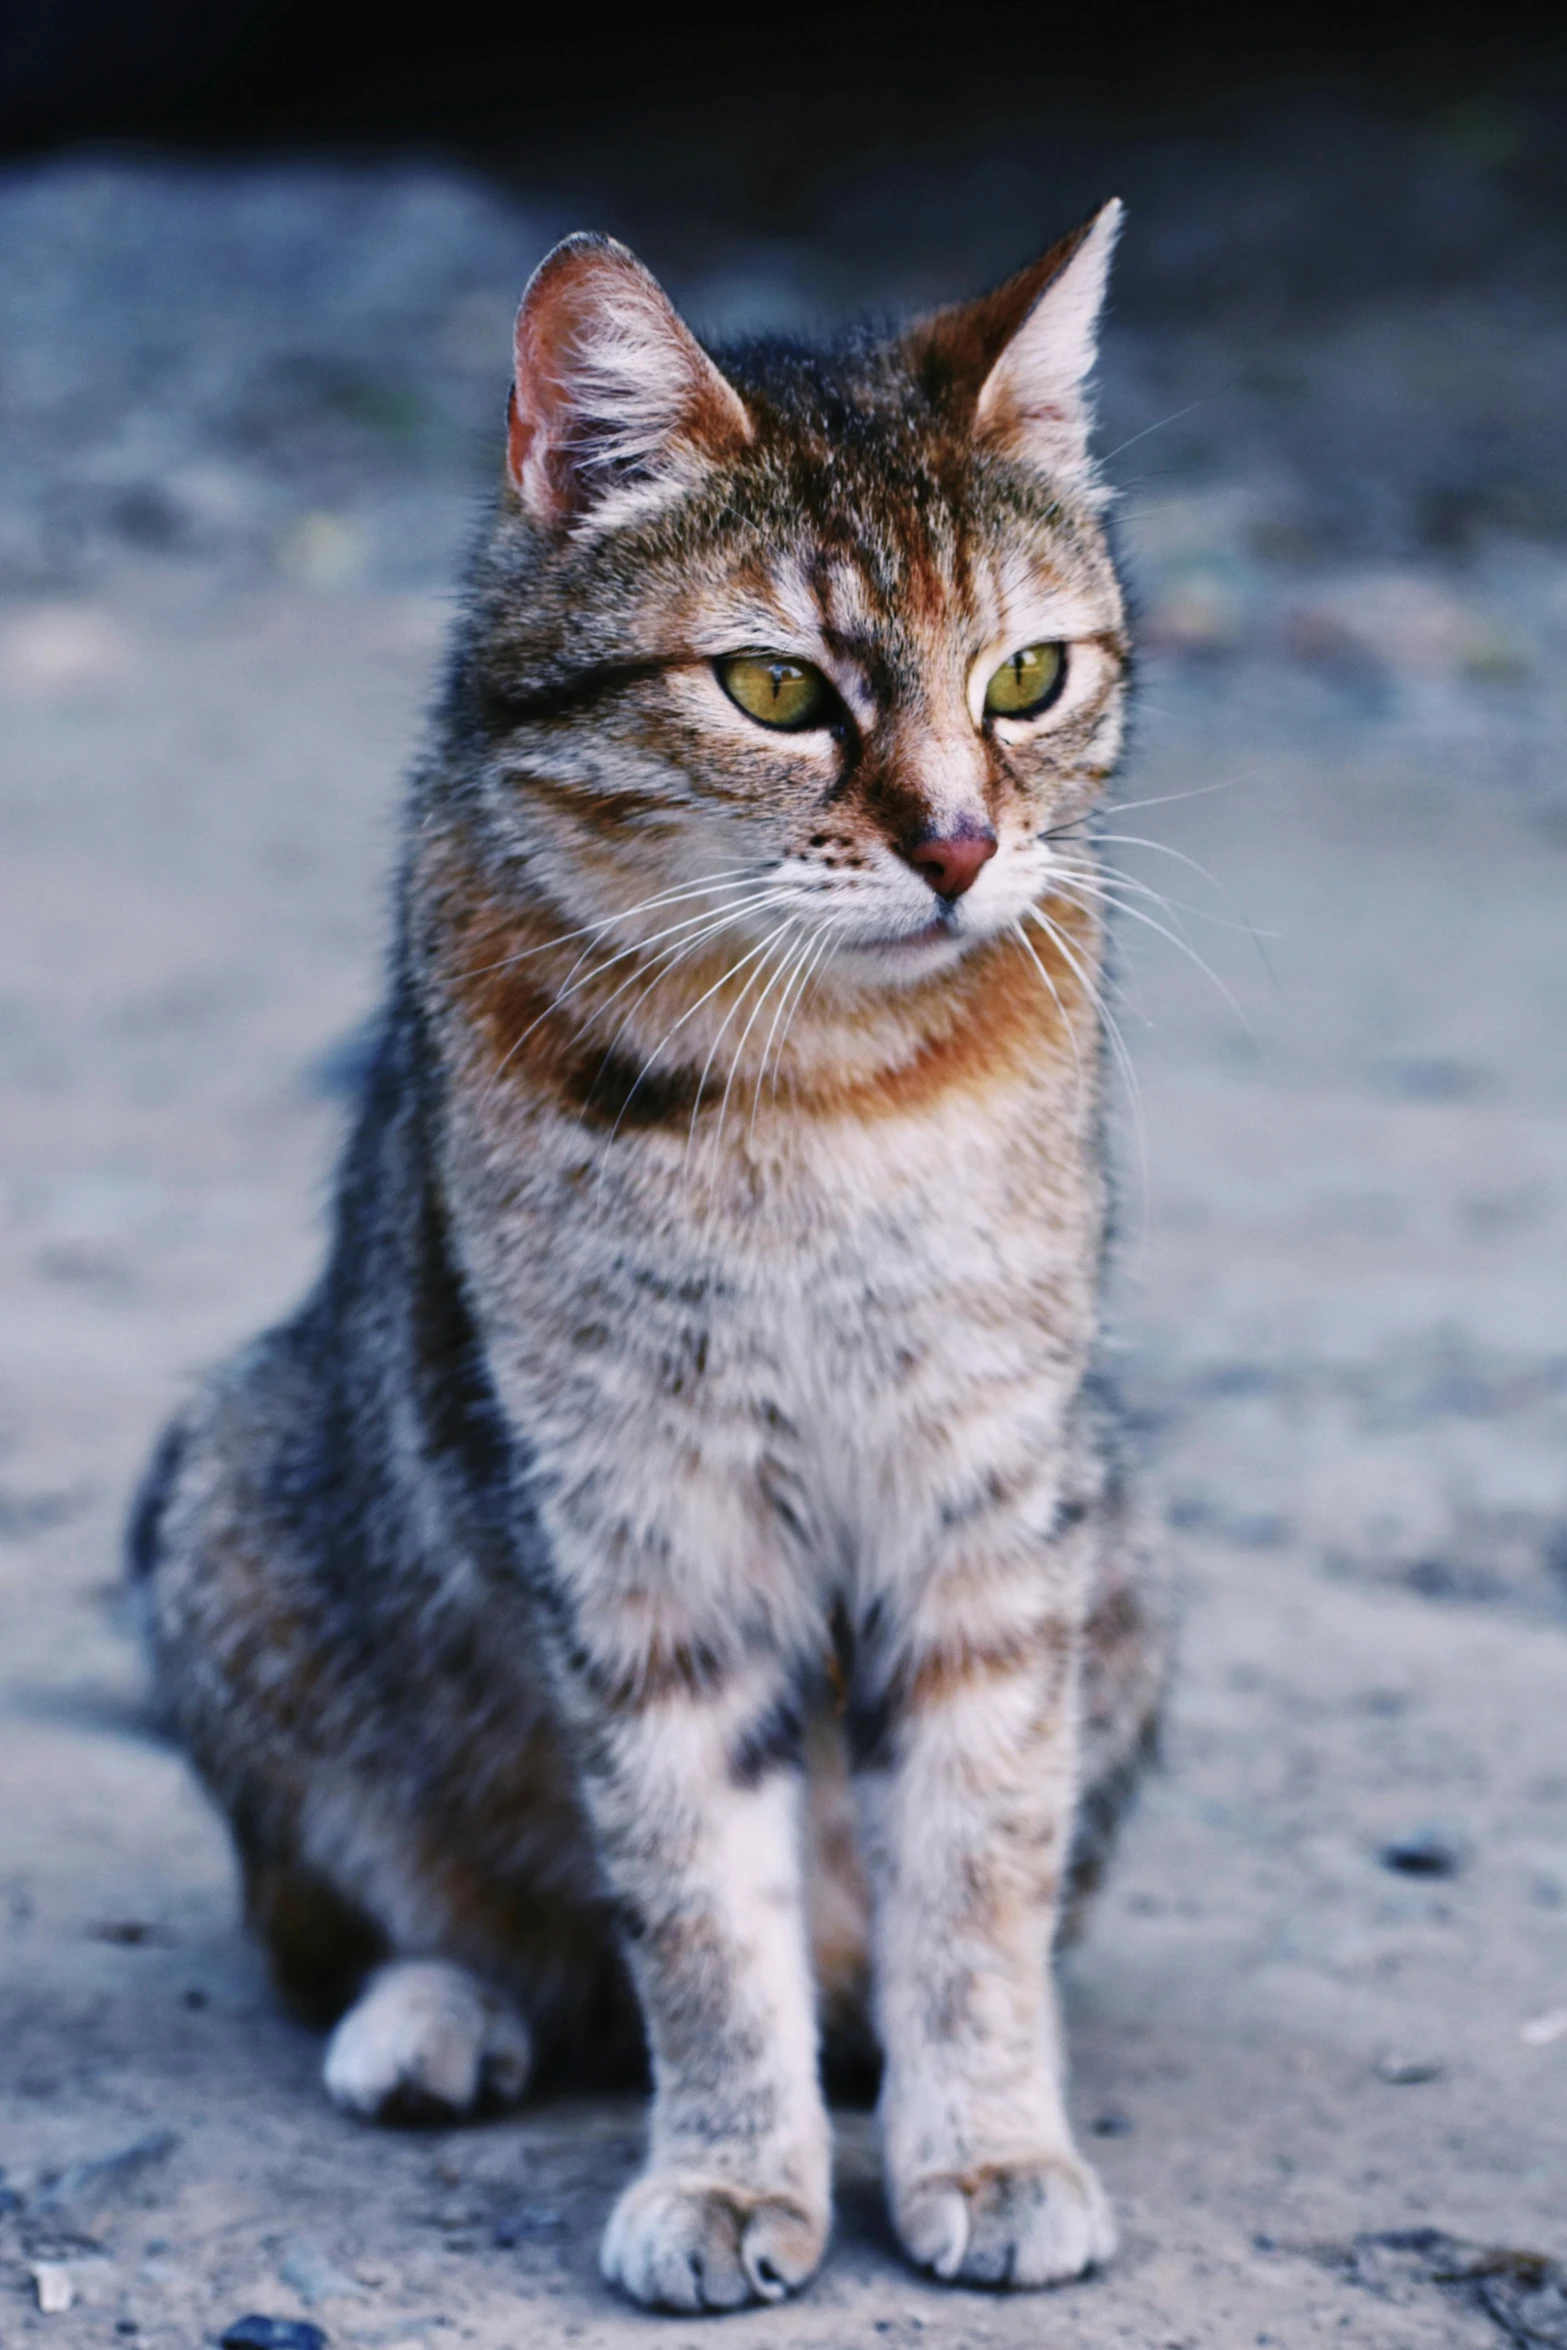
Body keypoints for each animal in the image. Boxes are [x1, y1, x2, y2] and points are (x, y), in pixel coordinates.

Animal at [131, 206, 1165, 2312]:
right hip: (234, 1501)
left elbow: (979, 1872)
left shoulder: (992, 1505)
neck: (834, 1088)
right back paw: (438, 2015)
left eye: (1027, 675)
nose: (960, 844)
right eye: (774, 690)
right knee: (390, 1926)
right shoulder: (641, 1523)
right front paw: (730, 2172)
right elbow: (693, 1903)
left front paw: (986, 2139)